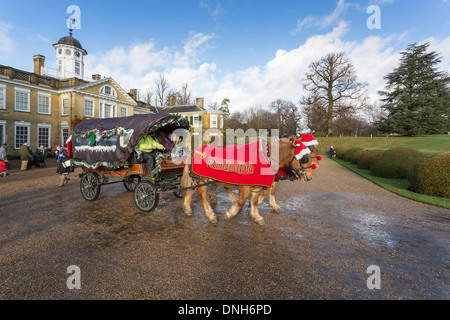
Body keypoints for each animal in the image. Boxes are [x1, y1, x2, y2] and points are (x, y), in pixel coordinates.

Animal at [181, 138, 314, 225]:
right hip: (202, 179)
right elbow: (241, 202)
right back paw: (211, 214)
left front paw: (256, 215)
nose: (310, 176)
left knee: (191, 191)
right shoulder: (244, 186)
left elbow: (255, 201)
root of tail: (193, 152)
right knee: (201, 194)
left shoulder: (256, 185)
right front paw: (230, 213)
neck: (266, 157)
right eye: (304, 157)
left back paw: (187, 208)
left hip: (199, 179)